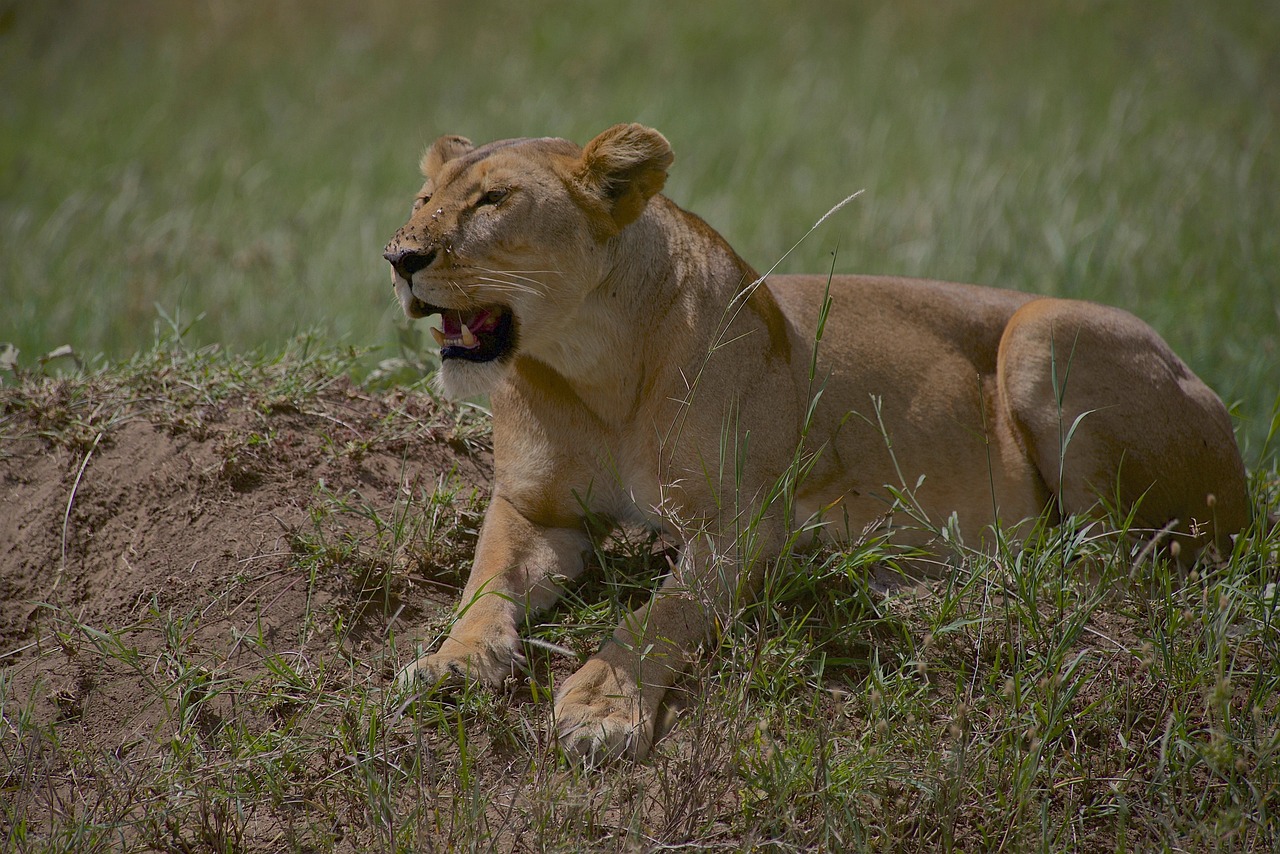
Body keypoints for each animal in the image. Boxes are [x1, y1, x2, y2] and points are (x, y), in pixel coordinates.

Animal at [382, 123, 1249, 762]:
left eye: (495, 200)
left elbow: (661, 615)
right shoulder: (534, 508)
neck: (591, 370)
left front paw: (603, 704)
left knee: (1111, 566)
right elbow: (485, 586)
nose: (400, 257)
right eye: (423, 197)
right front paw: (451, 662)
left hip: (1048, 331)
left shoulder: (742, 524)